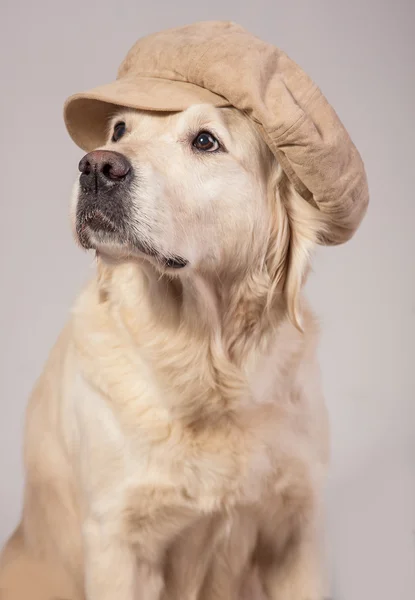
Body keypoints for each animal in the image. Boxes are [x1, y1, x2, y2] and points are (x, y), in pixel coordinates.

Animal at [0, 105, 332, 596]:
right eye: (119, 130)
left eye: (206, 141)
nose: (96, 167)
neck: (205, 358)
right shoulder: (118, 539)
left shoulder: (296, 532)